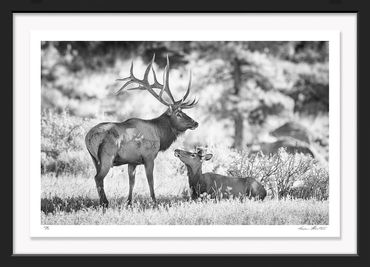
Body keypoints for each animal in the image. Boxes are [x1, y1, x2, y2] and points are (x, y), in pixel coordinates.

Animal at [85, 55, 198, 207]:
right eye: (179, 114)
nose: (195, 122)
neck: (160, 135)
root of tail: (88, 137)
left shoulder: (132, 161)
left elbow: (131, 182)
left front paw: (129, 202)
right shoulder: (149, 157)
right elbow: (151, 180)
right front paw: (154, 202)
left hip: (94, 159)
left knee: (98, 178)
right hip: (107, 156)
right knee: (98, 178)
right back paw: (105, 203)